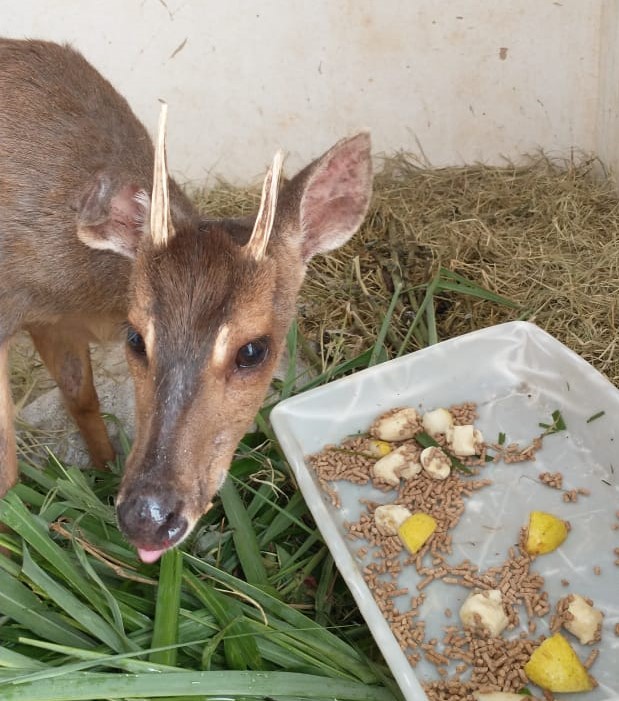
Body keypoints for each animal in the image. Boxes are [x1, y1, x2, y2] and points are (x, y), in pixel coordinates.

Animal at [0, 39, 372, 564]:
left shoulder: (54, 321)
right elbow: (7, 472)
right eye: (137, 338)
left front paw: (103, 467)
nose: (148, 518)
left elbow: (81, 396)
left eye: (253, 350)